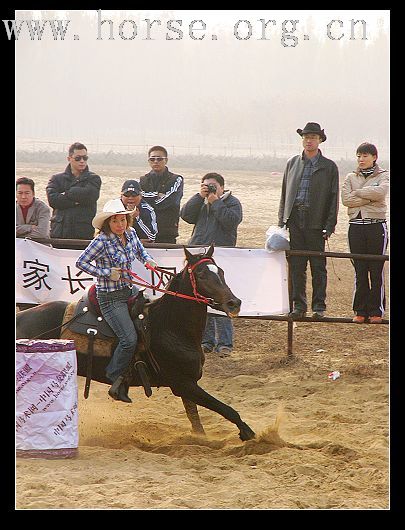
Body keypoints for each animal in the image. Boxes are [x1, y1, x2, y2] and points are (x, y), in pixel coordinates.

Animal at [17, 245, 256, 440]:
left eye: (221, 272)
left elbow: (196, 420)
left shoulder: (187, 384)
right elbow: (225, 408)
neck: (170, 326)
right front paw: (248, 433)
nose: (234, 303)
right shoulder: (183, 383)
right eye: (202, 274)